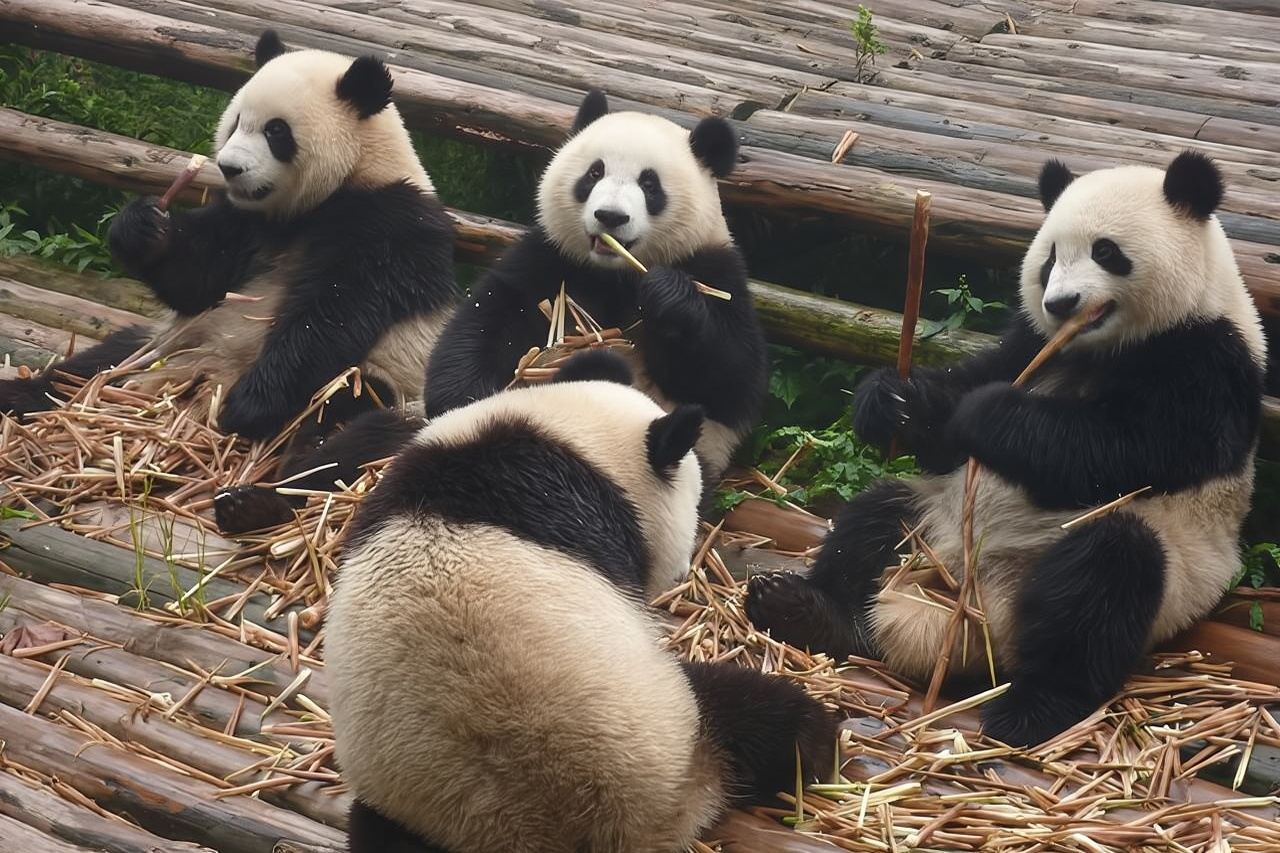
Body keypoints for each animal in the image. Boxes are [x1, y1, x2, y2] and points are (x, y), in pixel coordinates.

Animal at [0, 31, 454, 533]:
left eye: (276, 131)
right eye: (237, 121)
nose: (229, 167)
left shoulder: (388, 227)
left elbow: (332, 313)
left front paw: (247, 406)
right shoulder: (244, 224)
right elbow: (197, 280)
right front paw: (143, 228)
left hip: (388, 383)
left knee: (348, 435)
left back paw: (259, 504)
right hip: (159, 348)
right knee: (87, 370)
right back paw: (18, 395)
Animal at [328, 350, 836, 853]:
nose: (681, 568)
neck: (572, 438)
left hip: (416, 818)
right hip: (679, 722)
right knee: (759, 714)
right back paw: (814, 742)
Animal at [424, 90, 767, 491]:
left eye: (650, 185)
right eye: (594, 172)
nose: (611, 217)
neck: (614, 273)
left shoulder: (716, 269)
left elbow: (732, 381)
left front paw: (667, 294)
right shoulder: (552, 259)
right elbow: (489, 317)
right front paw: (467, 401)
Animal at [745, 152, 1266, 747]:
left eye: (1106, 252)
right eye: (1050, 258)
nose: (1061, 303)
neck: (1099, 347)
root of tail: (967, 611)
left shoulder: (1207, 361)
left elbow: (1127, 448)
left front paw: (987, 413)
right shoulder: (1030, 339)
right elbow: (965, 402)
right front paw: (892, 400)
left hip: (1162, 570)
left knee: (1102, 581)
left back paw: (1030, 710)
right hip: (933, 519)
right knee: (875, 518)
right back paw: (804, 609)